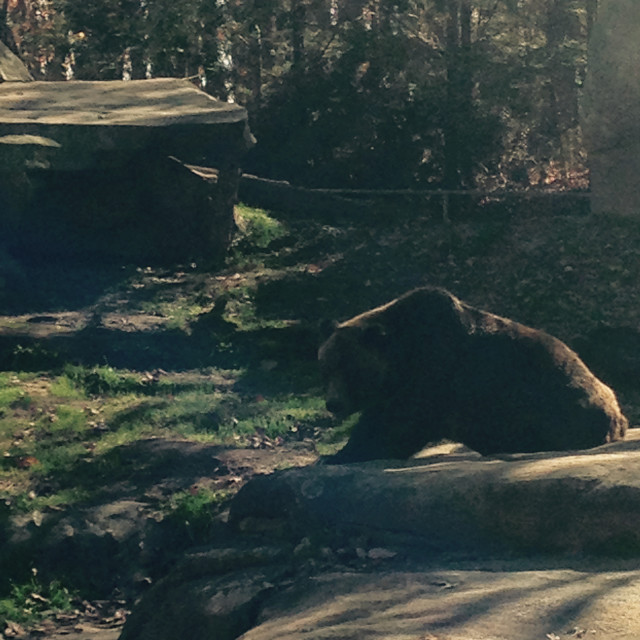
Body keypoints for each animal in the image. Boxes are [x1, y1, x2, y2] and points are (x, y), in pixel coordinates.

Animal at [318, 288, 628, 462]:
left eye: (351, 369)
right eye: (327, 368)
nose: (333, 403)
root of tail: (618, 411)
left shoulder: (435, 371)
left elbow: (396, 424)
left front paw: (338, 456)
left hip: (561, 407)